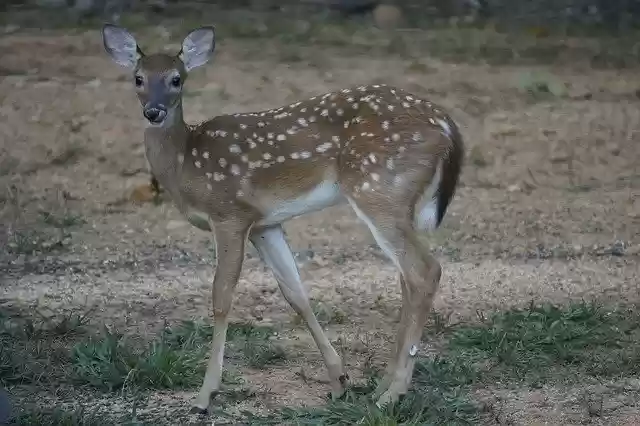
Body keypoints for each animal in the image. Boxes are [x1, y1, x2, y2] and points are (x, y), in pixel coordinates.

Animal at [101, 24, 464, 414]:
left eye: (176, 79)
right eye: (138, 78)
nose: (153, 111)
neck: (186, 164)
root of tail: (448, 127)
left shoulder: (230, 213)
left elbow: (221, 296)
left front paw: (205, 396)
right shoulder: (265, 224)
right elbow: (295, 293)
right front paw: (339, 381)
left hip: (379, 189)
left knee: (424, 271)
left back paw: (391, 395)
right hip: (395, 200)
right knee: (407, 277)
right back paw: (382, 386)